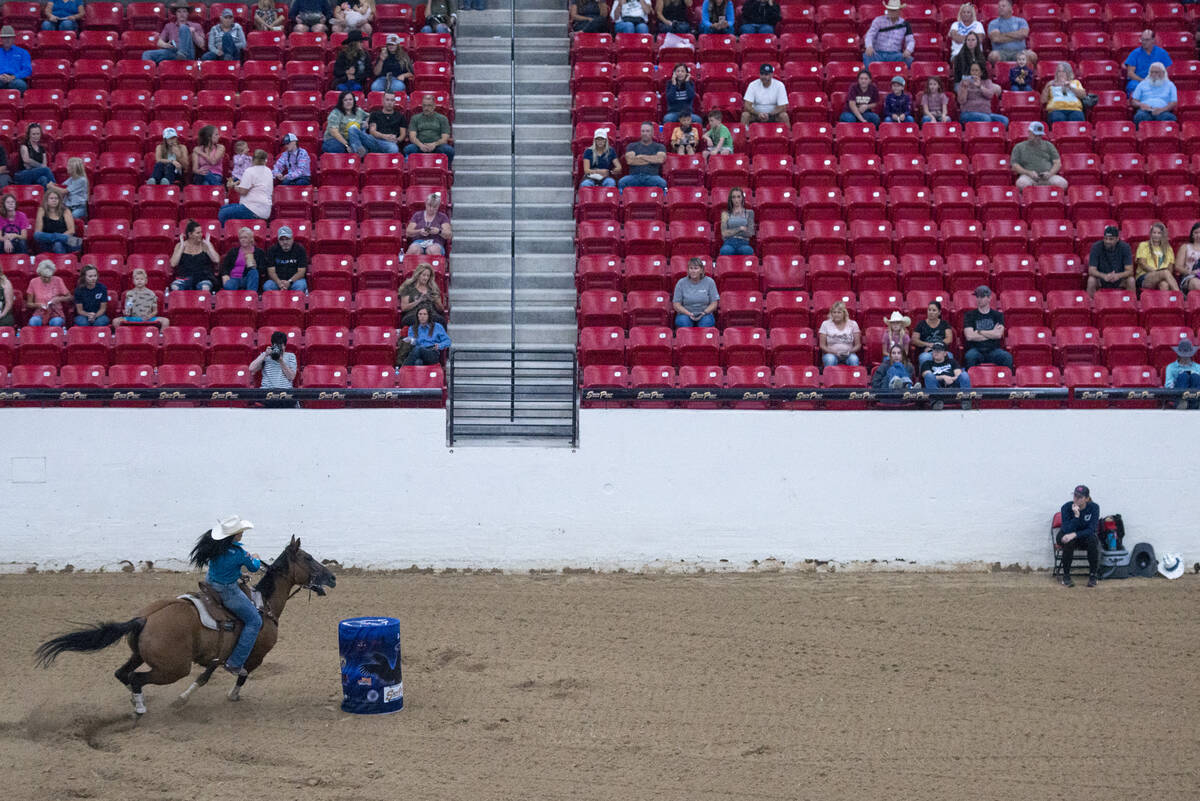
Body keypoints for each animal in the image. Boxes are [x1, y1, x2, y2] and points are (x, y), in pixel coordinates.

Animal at [34, 537, 333, 714]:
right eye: (307, 558)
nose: (332, 577)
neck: (264, 604)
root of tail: (145, 618)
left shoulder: (217, 656)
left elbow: (205, 676)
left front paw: (186, 697)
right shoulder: (253, 654)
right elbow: (241, 674)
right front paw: (230, 695)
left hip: (140, 655)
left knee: (122, 674)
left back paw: (134, 699)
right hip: (174, 667)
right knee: (136, 678)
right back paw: (140, 708)